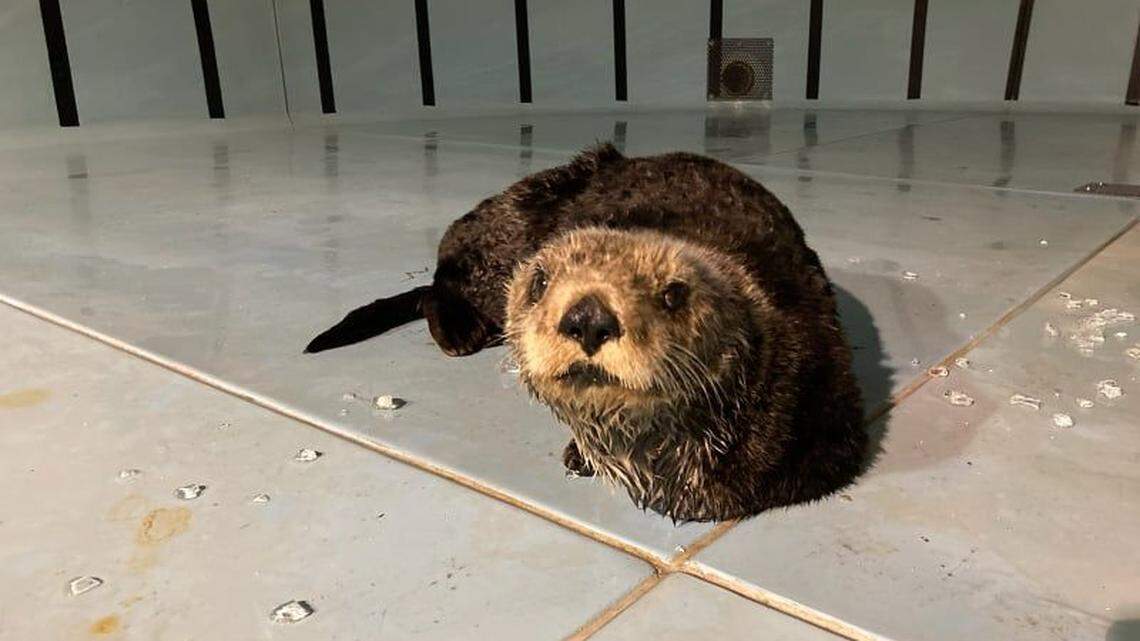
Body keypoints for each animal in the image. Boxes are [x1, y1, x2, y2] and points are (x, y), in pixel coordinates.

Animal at [306, 143, 866, 522]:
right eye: (541, 282)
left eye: (673, 293)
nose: (588, 317)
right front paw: (579, 455)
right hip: (503, 232)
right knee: (439, 278)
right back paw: (457, 330)